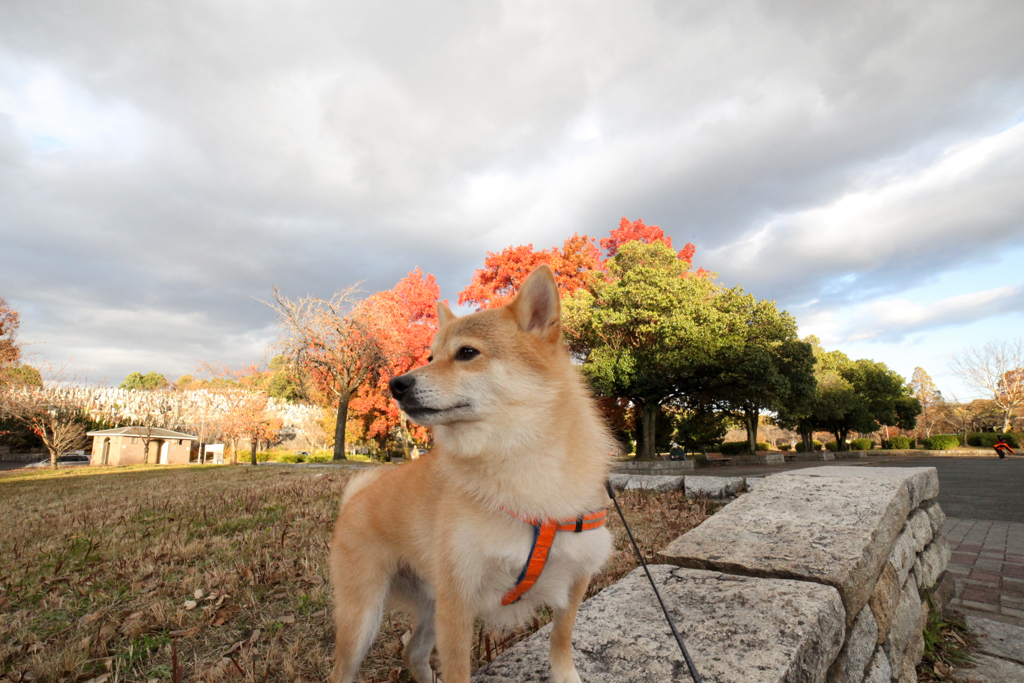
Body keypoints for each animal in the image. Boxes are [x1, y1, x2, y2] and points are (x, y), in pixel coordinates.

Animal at [327, 266, 614, 683]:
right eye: (431, 356)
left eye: (466, 353)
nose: (397, 384)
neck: (521, 462)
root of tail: (355, 499)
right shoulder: (457, 604)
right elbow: (458, 671)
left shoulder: (576, 577)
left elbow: (561, 638)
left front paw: (566, 676)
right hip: (363, 619)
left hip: (428, 603)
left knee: (412, 652)